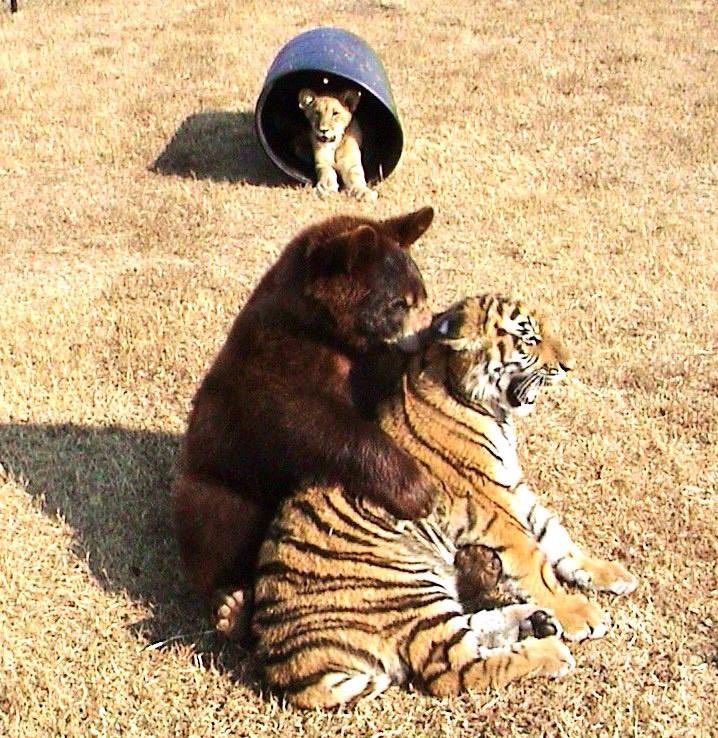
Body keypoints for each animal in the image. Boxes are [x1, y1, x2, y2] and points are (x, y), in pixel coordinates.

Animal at [172, 206, 437, 637]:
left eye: (421, 296)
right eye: (398, 304)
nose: (425, 333)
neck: (323, 330)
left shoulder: (365, 364)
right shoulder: (274, 362)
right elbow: (312, 423)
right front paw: (418, 490)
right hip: (223, 477)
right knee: (213, 523)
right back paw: (231, 605)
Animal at [252, 293, 637, 708]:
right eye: (529, 338)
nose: (568, 366)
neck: (487, 408)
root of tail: (285, 664)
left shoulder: (514, 491)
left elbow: (557, 538)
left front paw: (609, 574)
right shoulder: (496, 508)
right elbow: (536, 564)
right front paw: (577, 613)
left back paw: (534, 621)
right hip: (408, 590)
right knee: (455, 670)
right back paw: (549, 651)